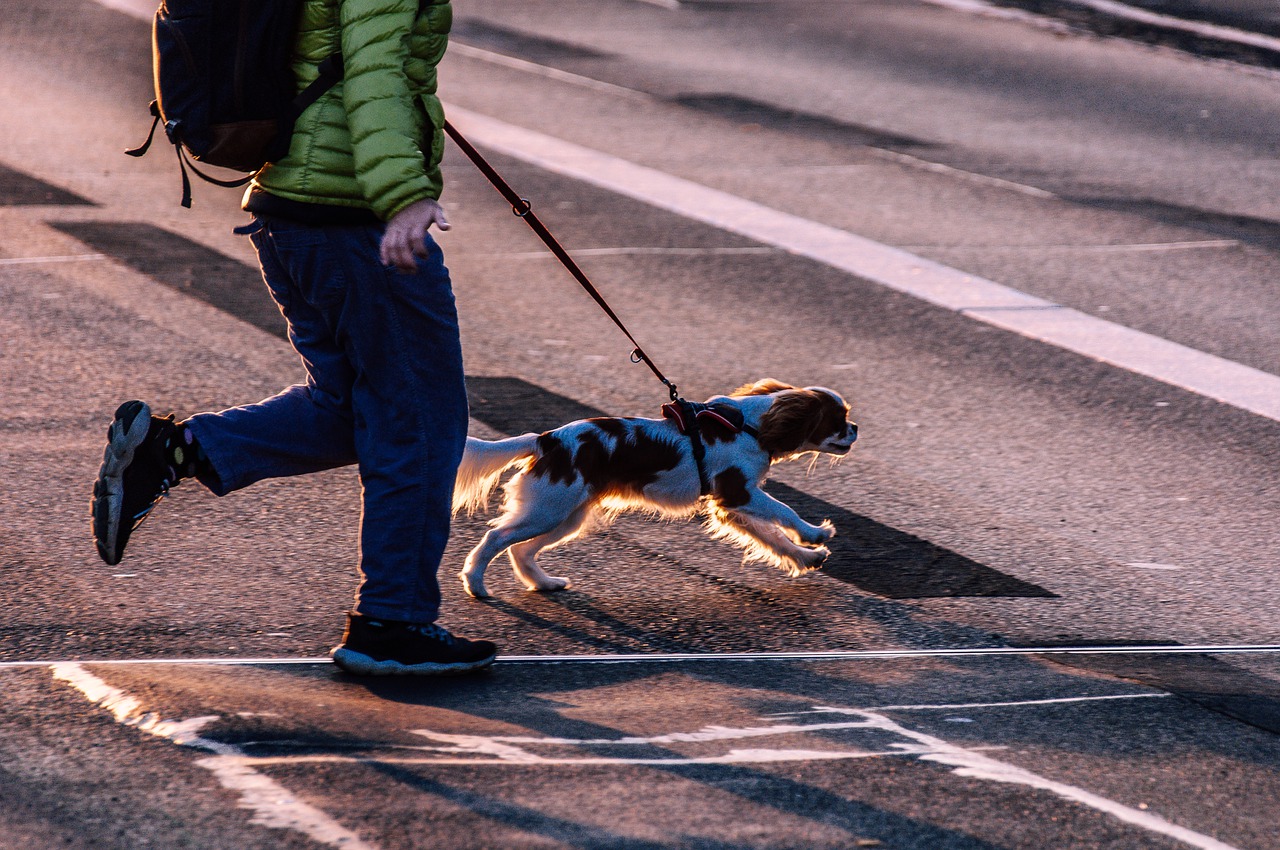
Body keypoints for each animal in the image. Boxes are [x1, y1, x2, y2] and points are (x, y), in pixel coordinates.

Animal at [450, 378, 860, 596]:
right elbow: (784, 512)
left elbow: (771, 537)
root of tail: (546, 440)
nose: (856, 430)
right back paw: (475, 585)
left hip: (566, 516)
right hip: (547, 509)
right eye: (839, 419)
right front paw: (814, 534)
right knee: (496, 538)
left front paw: (806, 556)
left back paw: (545, 583)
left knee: (521, 550)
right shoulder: (739, 492)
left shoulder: (729, 507)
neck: (751, 425)